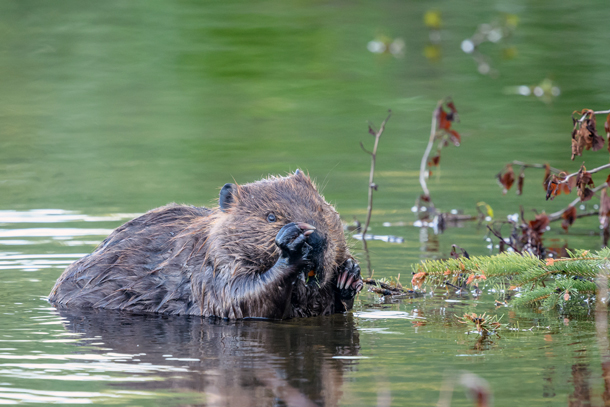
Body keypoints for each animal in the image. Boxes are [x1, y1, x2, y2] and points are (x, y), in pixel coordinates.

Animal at [48, 171, 360, 320]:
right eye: (271, 216)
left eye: (321, 209)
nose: (316, 238)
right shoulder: (212, 268)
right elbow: (241, 300)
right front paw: (292, 248)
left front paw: (349, 274)